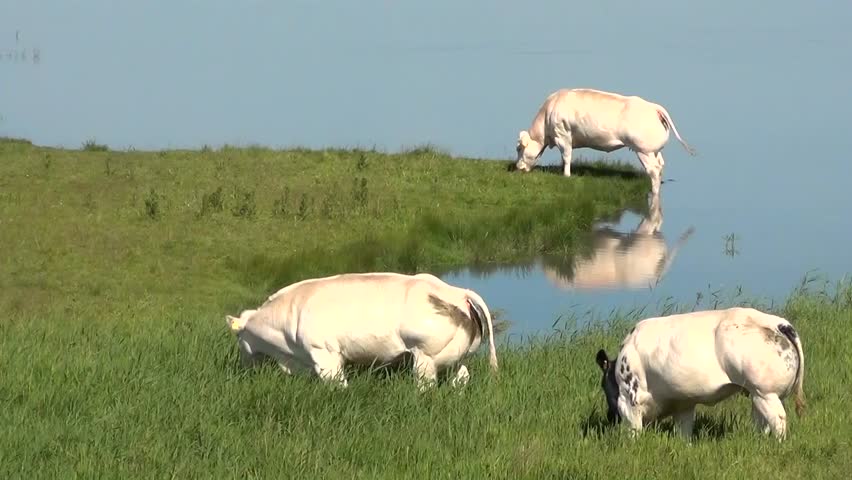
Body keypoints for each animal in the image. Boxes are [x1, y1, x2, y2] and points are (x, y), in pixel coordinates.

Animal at [225, 272, 498, 391]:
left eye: (239, 338)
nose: (244, 365)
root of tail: (459, 292)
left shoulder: (326, 356)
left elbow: (338, 385)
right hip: (455, 357)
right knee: (461, 377)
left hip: (426, 358)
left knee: (426, 386)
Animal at [514, 88, 696, 195]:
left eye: (519, 149)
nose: (517, 168)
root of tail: (653, 107)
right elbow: (563, 157)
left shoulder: (563, 135)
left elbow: (566, 156)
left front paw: (566, 175)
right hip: (654, 151)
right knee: (660, 165)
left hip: (644, 151)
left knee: (654, 170)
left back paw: (653, 192)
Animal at [594, 307, 806, 441]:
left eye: (604, 386)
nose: (609, 417)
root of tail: (776, 323)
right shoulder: (684, 404)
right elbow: (684, 433)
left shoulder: (630, 400)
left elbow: (633, 433)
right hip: (760, 394)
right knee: (762, 423)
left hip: (764, 392)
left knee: (778, 420)